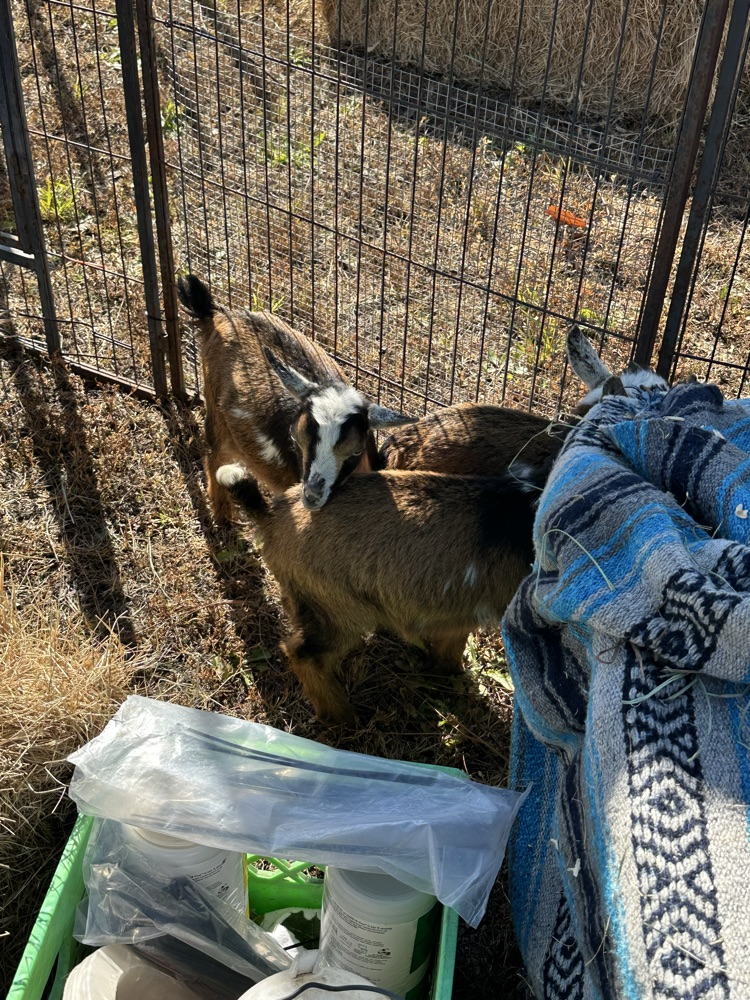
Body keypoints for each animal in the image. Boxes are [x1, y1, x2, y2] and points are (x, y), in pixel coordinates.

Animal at [177, 274, 416, 521]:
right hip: (215, 411)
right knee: (213, 456)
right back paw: (223, 516)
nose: (312, 495)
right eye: (295, 437)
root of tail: (218, 314)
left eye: (356, 450)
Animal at [216, 461, 547, 723]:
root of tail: (272, 514)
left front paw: (449, 674)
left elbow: (452, 639)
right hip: (340, 609)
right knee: (304, 653)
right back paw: (342, 718)